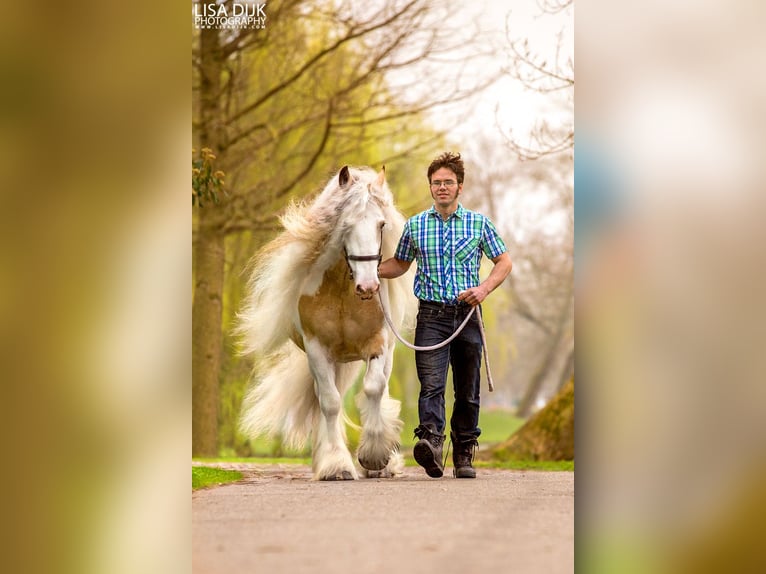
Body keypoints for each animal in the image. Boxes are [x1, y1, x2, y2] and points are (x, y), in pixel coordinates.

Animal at [236, 165, 415, 480]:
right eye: (346, 224)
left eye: (382, 224)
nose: (369, 286)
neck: (343, 292)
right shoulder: (317, 350)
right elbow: (330, 404)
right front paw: (336, 465)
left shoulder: (377, 345)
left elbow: (373, 389)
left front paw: (374, 456)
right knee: (327, 399)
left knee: (379, 390)